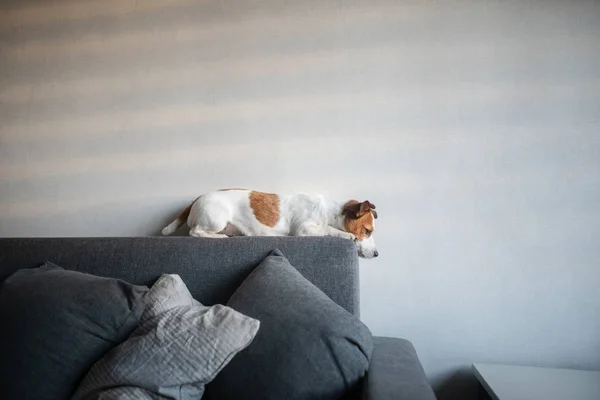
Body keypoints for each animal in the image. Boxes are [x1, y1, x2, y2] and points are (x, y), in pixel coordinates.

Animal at [162, 189, 378, 258]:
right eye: (367, 231)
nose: (377, 254)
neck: (330, 211)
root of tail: (196, 200)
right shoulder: (303, 228)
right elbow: (328, 228)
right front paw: (347, 235)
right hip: (216, 219)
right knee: (195, 232)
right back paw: (220, 236)